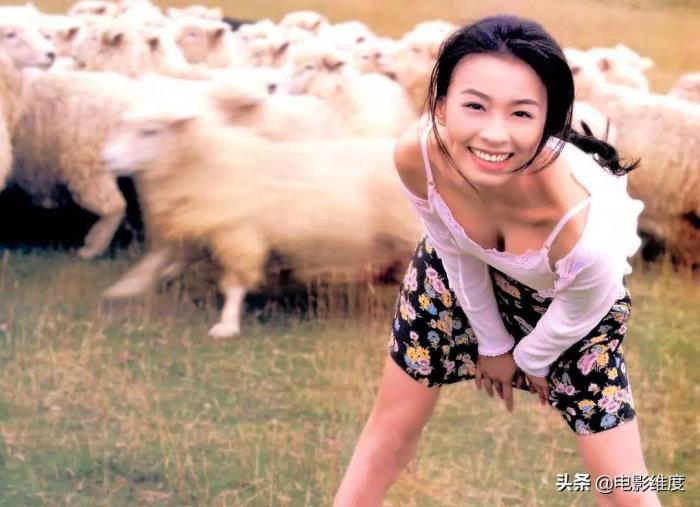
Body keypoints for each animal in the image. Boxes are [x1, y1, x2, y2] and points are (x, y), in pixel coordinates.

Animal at [100, 96, 423, 338]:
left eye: (150, 131)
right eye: (122, 124)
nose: (107, 159)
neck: (205, 162)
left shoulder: (239, 233)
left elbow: (235, 282)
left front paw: (226, 325)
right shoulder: (197, 225)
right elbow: (157, 260)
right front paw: (124, 288)